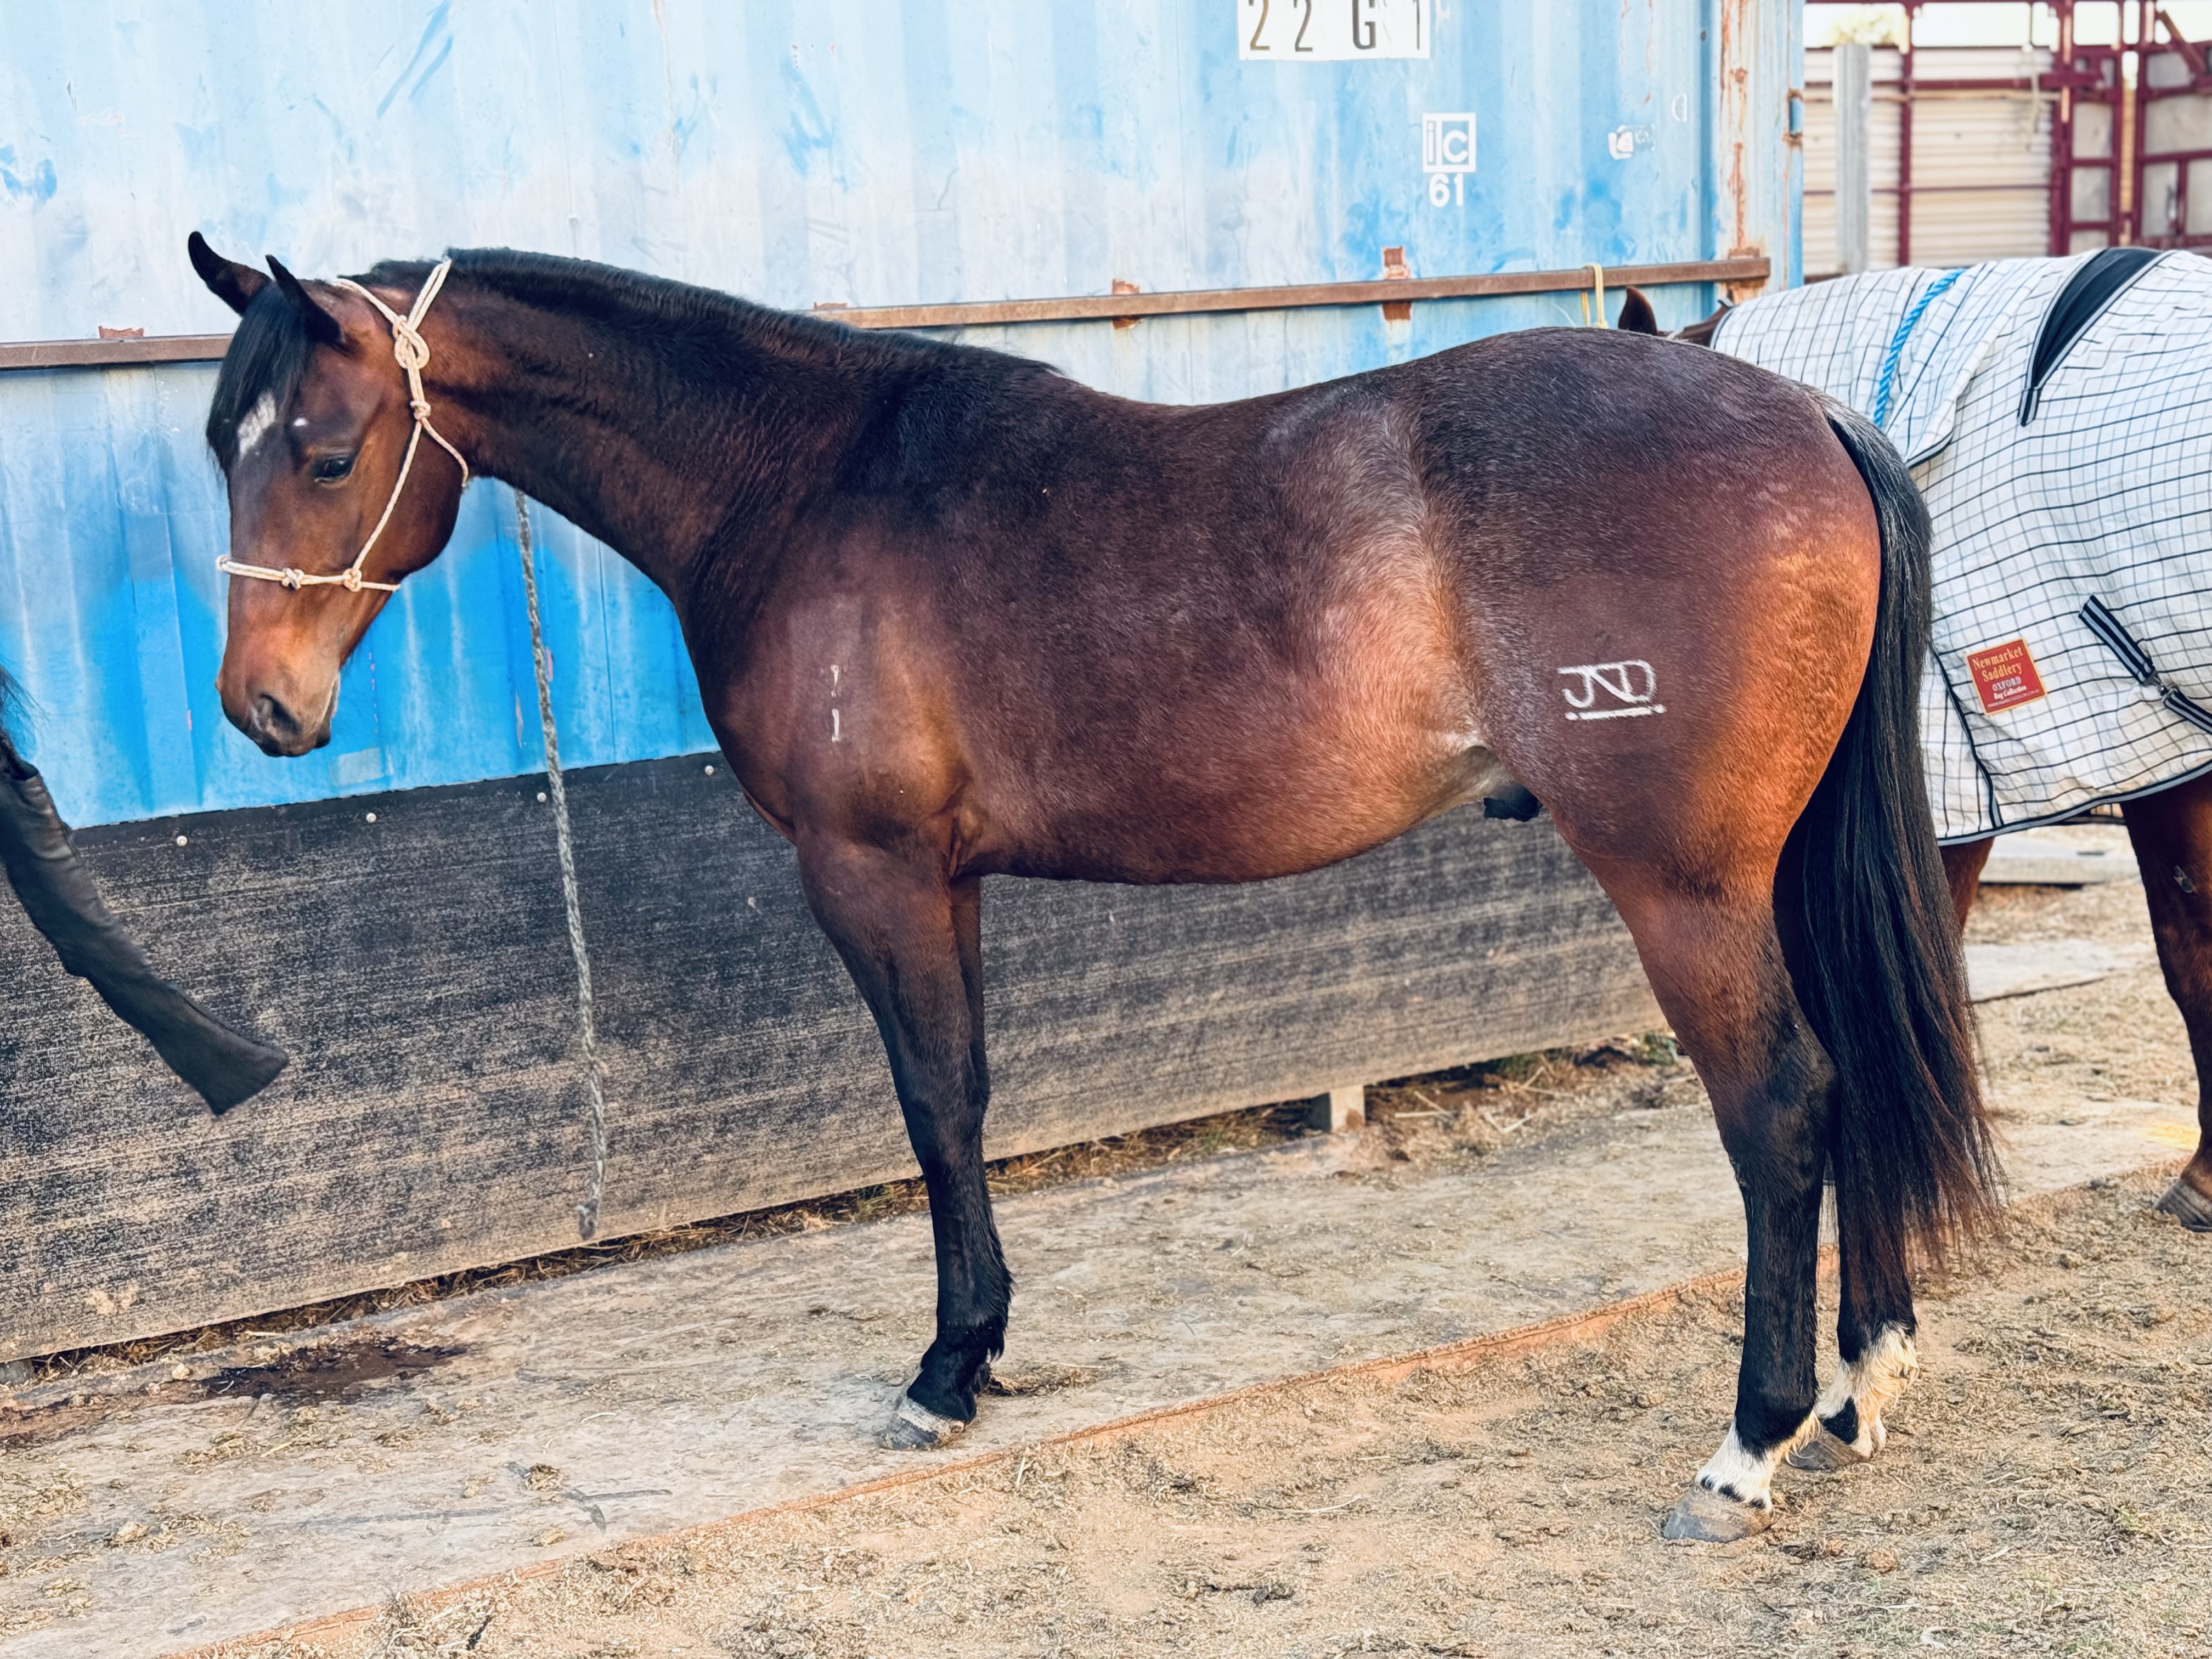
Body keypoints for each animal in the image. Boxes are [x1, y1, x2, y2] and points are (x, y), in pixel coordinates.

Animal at [186, 233, 1994, 1542]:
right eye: (223, 443)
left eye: (329, 455)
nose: (261, 707)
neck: (808, 477)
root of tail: (1806, 417)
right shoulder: (948, 882)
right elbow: (971, 1096)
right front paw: (980, 1347)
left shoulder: (872, 875)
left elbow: (932, 1107)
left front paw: (943, 1373)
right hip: (1776, 880)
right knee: (1852, 1077)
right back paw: (1862, 1380)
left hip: (1686, 889)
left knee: (1782, 1109)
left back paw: (1748, 1446)